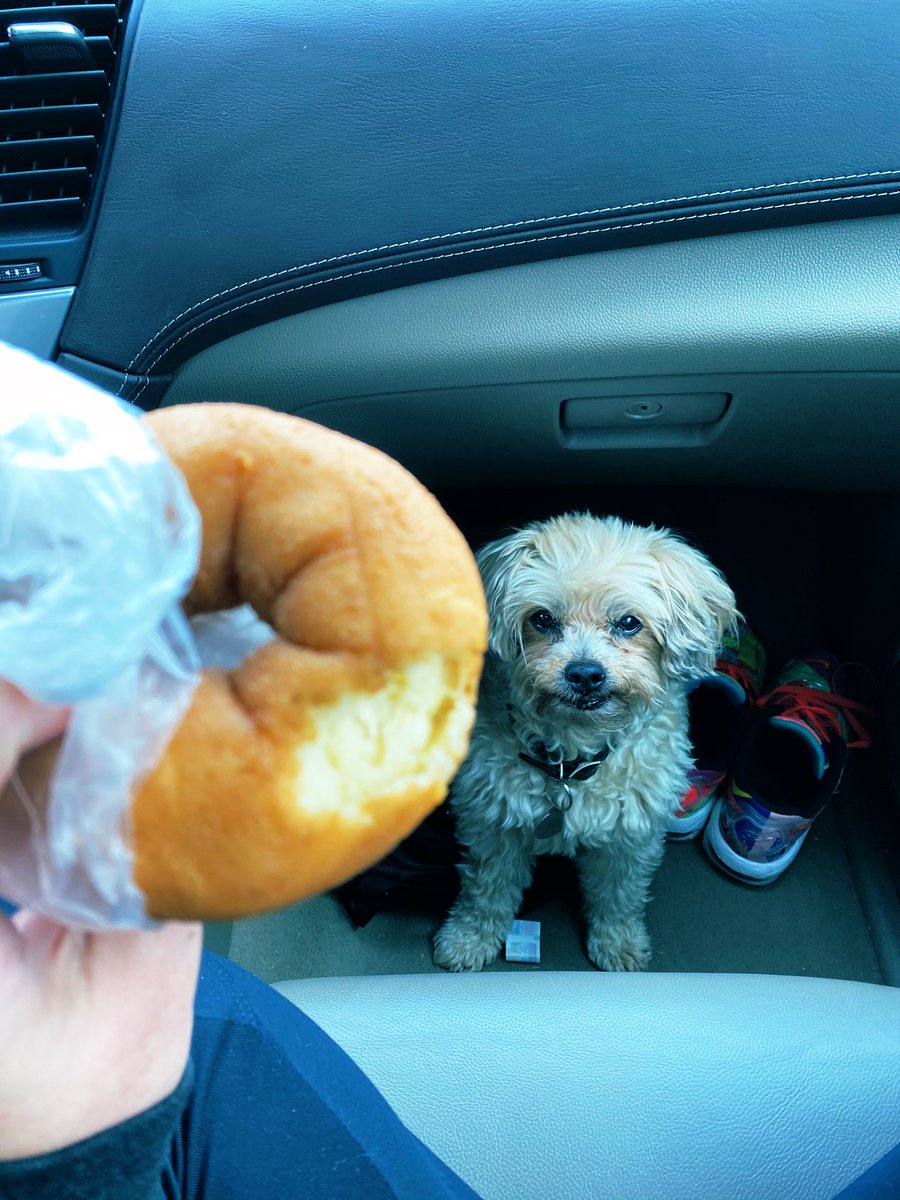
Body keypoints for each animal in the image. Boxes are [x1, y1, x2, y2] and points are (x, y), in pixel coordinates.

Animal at [436, 511, 739, 969]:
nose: (584, 674)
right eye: (542, 619)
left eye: (629, 622)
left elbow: (618, 896)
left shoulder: (629, 839)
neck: (571, 759)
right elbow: (485, 890)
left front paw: (618, 944)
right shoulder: (492, 826)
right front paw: (468, 939)